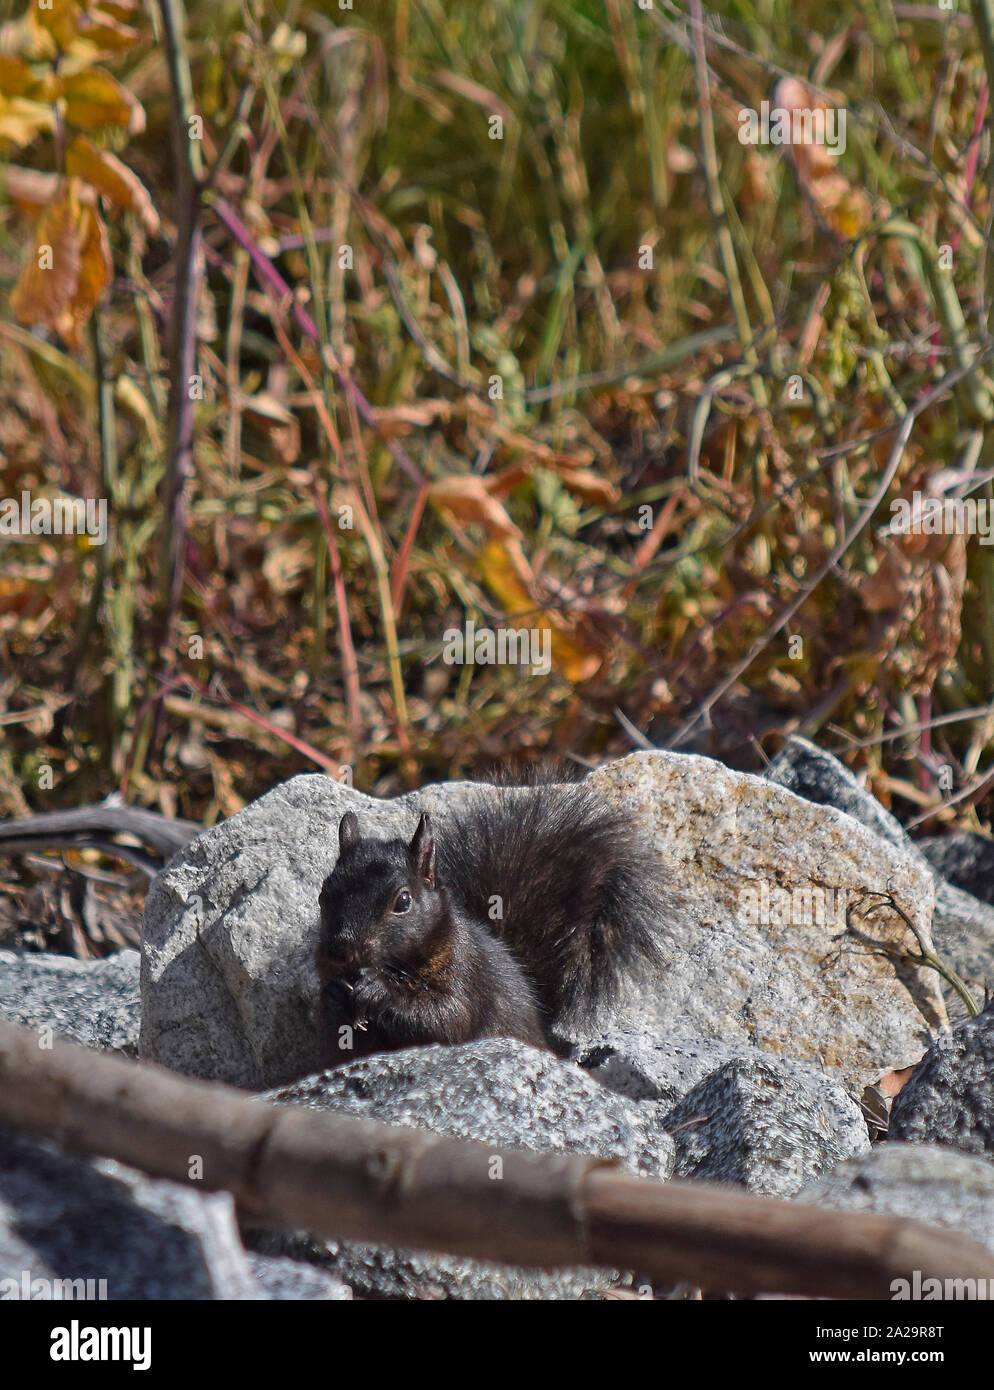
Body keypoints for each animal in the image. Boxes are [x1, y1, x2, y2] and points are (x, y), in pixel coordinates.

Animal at [315, 778, 670, 1056]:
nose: (340, 950)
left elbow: (446, 1019)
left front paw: (378, 990)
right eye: (323, 894)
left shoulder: (467, 975)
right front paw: (333, 997)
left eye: (403, 901)